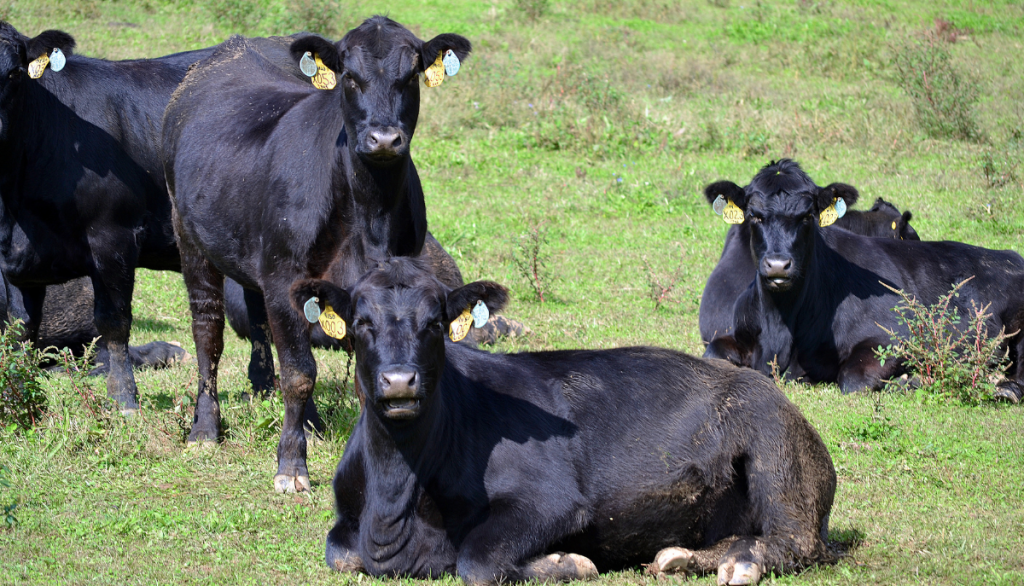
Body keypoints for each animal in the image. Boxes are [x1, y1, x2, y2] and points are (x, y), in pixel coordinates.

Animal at [162, 17, 473, 492]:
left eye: (410, 76)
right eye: (350, 77)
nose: (384, 138)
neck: (369, 214)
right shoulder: (285, 279)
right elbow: (298, 375)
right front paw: (291, 466)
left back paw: (311, 423)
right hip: (190, 237)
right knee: (208, 333)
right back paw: (206, 429)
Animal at [290, 257, 837, 585]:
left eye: (435, 324)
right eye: (362, 323)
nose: (400, 381)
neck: (393, 503)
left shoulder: (550, 499)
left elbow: (477, 559)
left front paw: (563, 561)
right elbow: (340, 551)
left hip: (775, 451)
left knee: (795, 541)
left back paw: (740, 565)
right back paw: (683, 557)